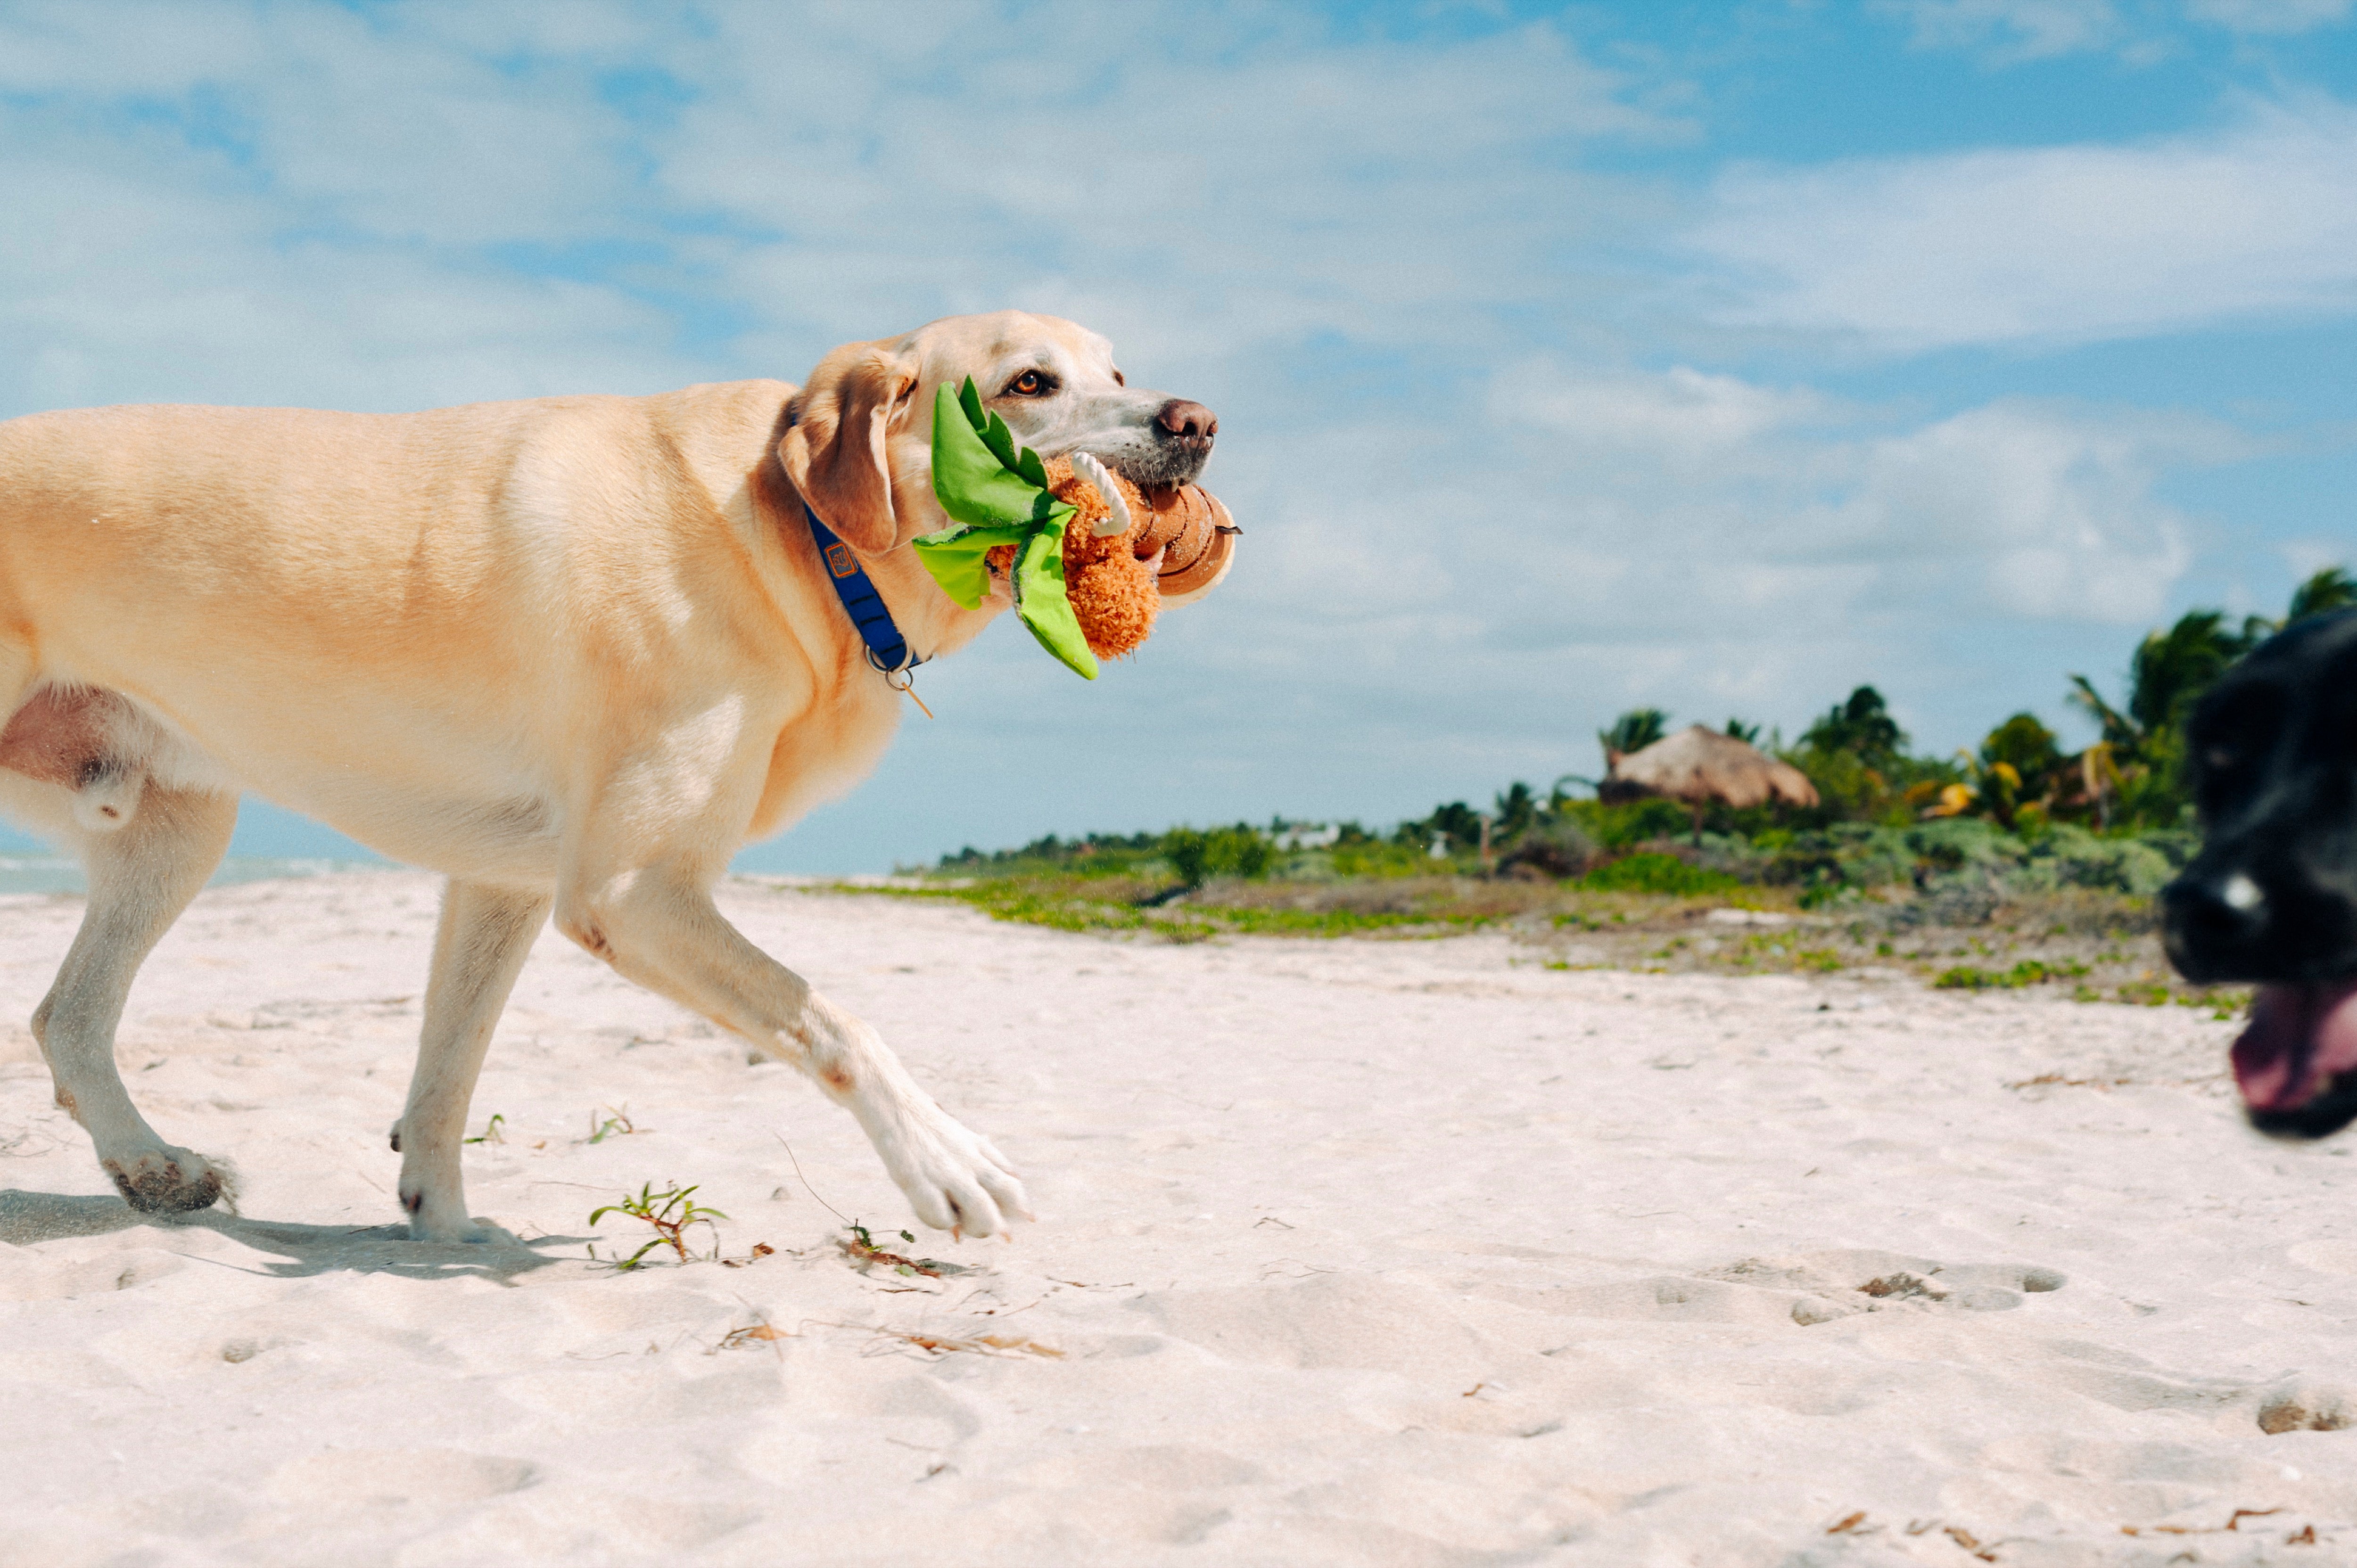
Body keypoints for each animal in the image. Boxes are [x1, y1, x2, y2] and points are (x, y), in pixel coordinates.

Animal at [4, 311, 1235, 1245]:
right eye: (1030, 383)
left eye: (1116, 372)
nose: (1199, 422)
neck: (796, 537)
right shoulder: (631, 891)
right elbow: (832, 1018)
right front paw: (942, 1158)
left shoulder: (502, 884)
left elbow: (448, 1073)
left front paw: (444, 1230)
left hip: (179, 831)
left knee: (70, 1019)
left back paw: (152, 1169)